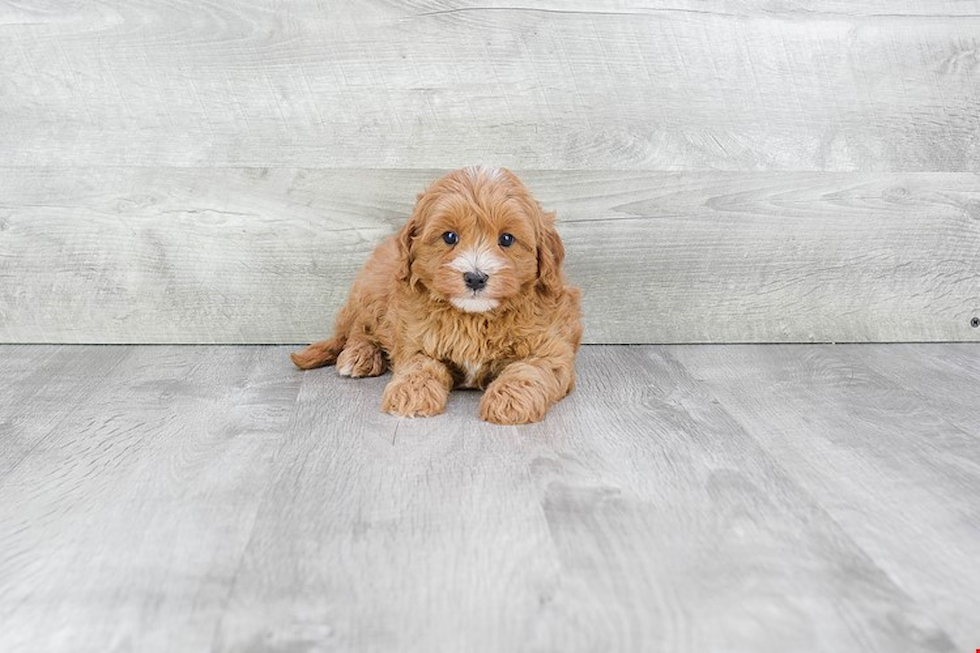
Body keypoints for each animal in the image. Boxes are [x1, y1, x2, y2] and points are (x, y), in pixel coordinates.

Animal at [290, 166, 580, 426]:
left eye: (507, 239)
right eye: (450, 237)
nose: (475, 277)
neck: (474, 317)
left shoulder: (551, 349)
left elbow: (529, 370)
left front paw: (509, 400)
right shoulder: (415, 339)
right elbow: (419, 365)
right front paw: (410, 392)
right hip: (371, 288)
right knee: (359, 329)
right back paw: (359, 355)